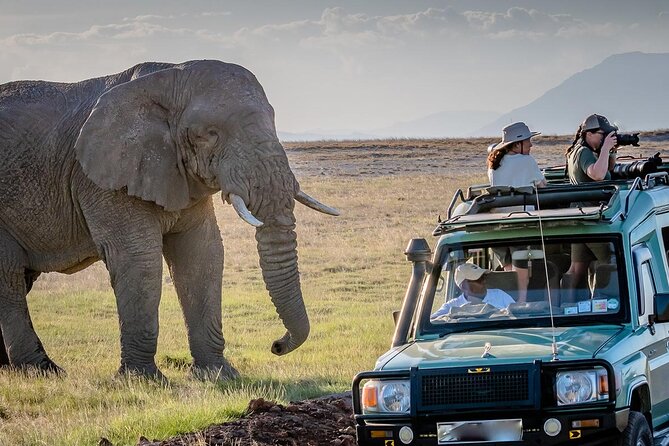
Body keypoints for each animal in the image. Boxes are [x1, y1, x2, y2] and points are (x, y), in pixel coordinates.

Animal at [0, 60, 338, 379]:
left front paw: (218, 375)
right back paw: (41, 370)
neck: (167, 77)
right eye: (210, 134)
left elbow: (202, 254)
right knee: (10, 277)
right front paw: (142, 380)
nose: (276, 345)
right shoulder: (103, 177)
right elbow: (139, 258)